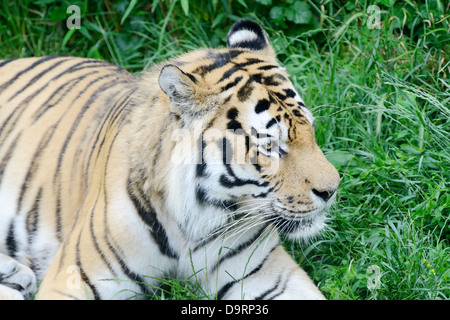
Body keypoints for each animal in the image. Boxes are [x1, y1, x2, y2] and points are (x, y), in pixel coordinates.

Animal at [0, 20, 340, 300]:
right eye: (270, 145)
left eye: (310, 129)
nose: (332, 190)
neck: (191, 224)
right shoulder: (73, 278)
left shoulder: (265, 274)